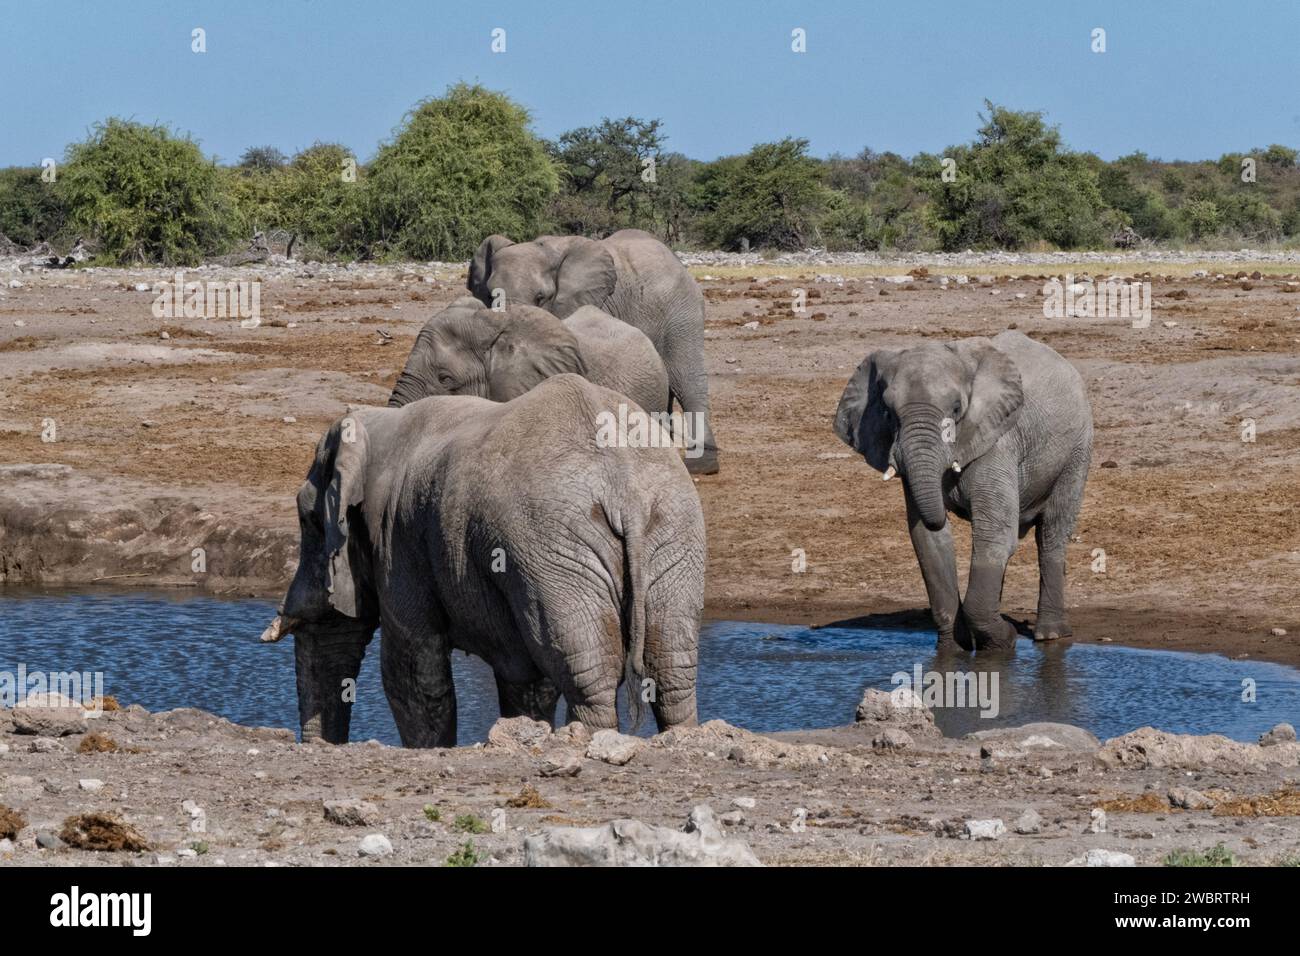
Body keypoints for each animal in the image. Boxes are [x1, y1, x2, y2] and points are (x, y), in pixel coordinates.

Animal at [260, 374, 707, 749]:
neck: (377, 428)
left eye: (308, 520)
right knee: (670, 669)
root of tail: (623, 487)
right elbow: (527, 680)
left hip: (557, 550)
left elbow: (413, 675)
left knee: (590, 672)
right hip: (668, 534)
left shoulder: (399, 542)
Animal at [832, 332, 1086, 655]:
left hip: (1076, 451)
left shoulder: (998, 442)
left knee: (1053, 531)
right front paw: (957, 649)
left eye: (955, 409)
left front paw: (1003, 642)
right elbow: (930, 542)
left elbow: (995, 533)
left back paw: (1051, 635)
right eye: (888, 413)